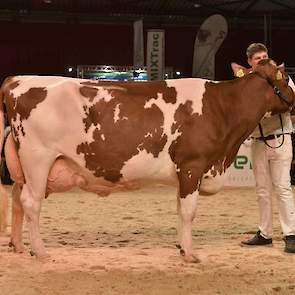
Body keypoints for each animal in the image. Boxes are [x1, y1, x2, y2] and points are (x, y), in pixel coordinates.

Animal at [0, 59, 294, 262]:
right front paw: (190, 254)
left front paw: (181, 247)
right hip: (38, 159)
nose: (294, 100)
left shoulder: (183, 173)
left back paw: (19, 246)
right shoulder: (192, 165)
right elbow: (189, 211)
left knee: (18, 200)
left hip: (24, 166)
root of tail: (17, 80)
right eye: (288, 78)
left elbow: (179, 210)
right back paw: (40, 252)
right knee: (31, 202)